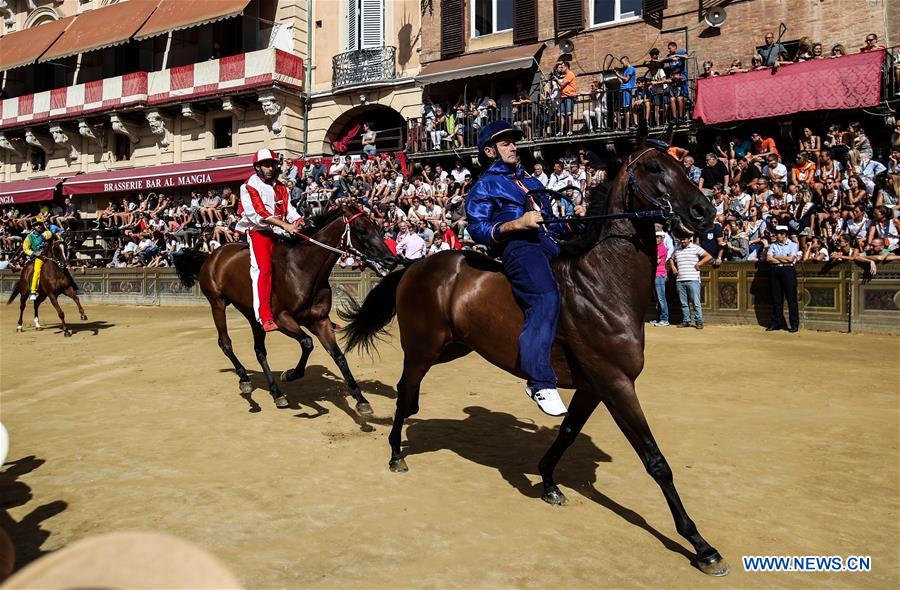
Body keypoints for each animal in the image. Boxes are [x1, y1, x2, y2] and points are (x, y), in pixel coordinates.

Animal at [176, 206, 398, 414]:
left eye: (376, 227)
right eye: (361, 230)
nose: (391, 260)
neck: (302, 269)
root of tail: (212, 256)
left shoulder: (320, 321)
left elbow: (339, 356)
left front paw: (361, 399)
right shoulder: (282, 319)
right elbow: (307, 343)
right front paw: (290, 374)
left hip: (253, 315)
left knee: (259, 351)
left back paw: (276, 393)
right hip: (218, 303)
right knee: (225, 343)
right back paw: (245, 379)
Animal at [340, 145, 732, 580]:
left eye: (684, 163)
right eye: (653, 167)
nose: (704, 211)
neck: (601, 282)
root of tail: (415, 265)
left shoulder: (594, 386)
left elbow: (568, 433)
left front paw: (548, 482)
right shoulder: (616, 383)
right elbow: (656, 461)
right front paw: (700, 544)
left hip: (452, 347)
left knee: (410, 394)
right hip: (423, 348)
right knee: (405, 389)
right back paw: (396, 453)